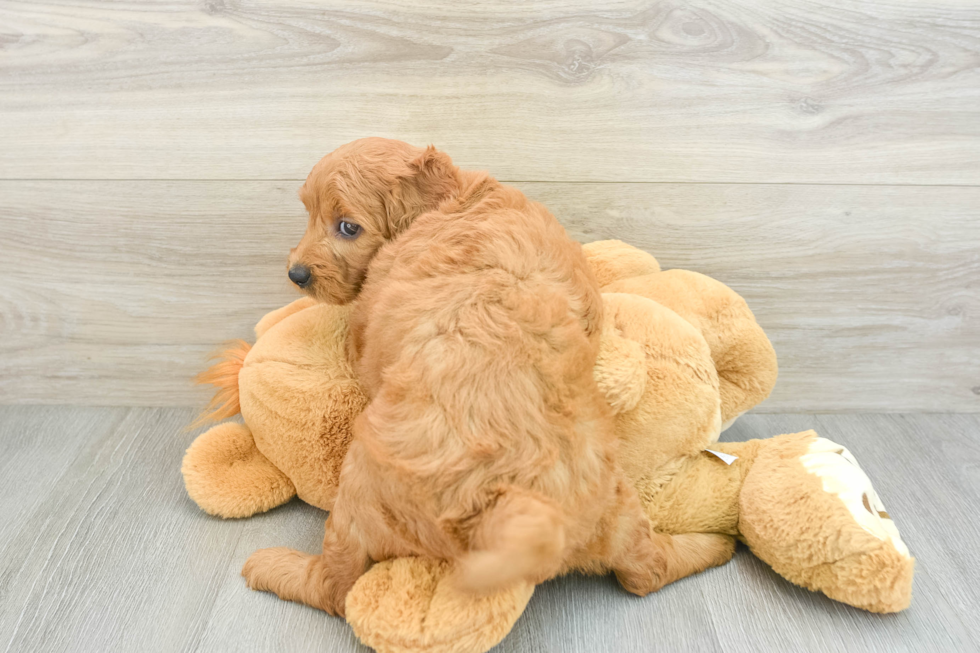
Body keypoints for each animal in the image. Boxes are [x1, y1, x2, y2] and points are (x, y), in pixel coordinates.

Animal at [239, 139, 736, 616]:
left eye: (347, 227)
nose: (296, 274)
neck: (456, 198)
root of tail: (516, 513)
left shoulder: (366, 319)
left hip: (360, 493)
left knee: (336, 586)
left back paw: (273, 567)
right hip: (617, 507)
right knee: (645, 570)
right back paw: (714, 545)